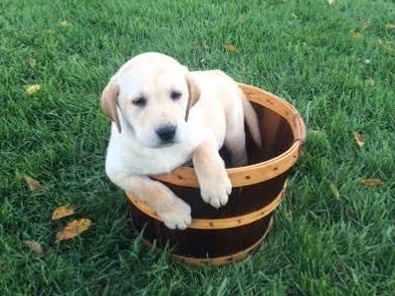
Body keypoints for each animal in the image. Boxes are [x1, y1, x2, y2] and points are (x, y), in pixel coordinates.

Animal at [100, 52, 262, 229]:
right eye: (138, 101)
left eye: (176, 95)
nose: (167, 131)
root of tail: (218, 73)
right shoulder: (117, 171)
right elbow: (150, 190)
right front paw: (176, 214)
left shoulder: (203, 135)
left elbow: (204, 155)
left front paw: (215, 189)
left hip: (234, 132)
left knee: (240, 155)